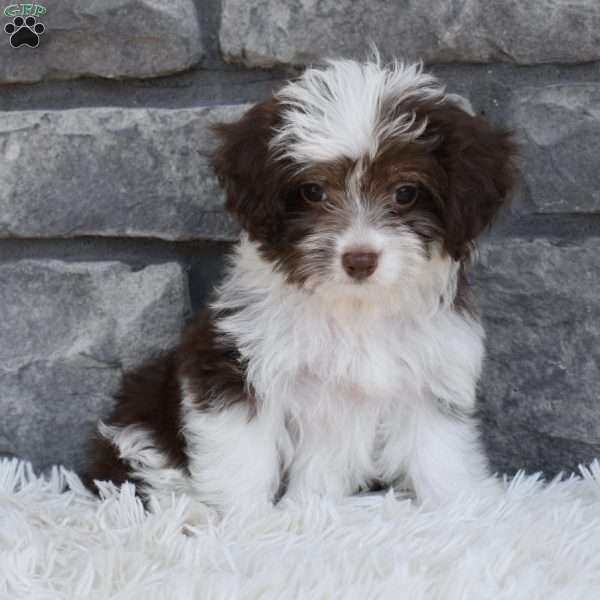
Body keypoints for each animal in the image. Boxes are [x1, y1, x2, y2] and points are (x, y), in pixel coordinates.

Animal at [84, 56, 516, 510]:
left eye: (405, 192)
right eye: (312, 191)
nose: (359, 260)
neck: (355, 309)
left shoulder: (431, 374)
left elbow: (439, 451)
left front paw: (465, 507)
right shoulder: (237, 365)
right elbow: (243, 451)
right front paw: (244, 516)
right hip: (142, 420)